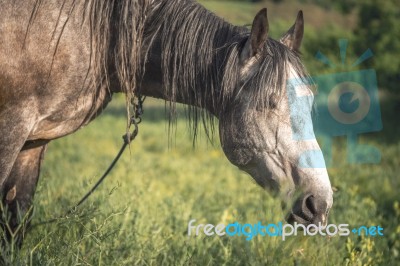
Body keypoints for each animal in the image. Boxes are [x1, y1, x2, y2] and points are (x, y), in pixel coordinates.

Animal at [0, 0, 332, 245]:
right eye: (268, 103)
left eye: (310, 103)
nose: (319, 205)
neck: (94, 33)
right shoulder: (12, 128)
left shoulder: (35, 141)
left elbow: (16, 217)